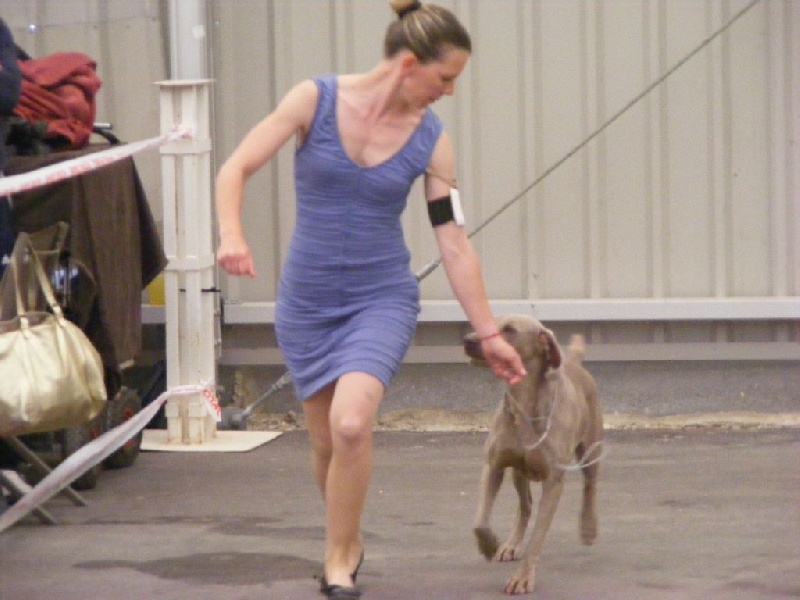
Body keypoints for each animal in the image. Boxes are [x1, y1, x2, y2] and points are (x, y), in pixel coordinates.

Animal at [464, 315, 604, 595]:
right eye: (490, 321)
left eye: (509, 329)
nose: (468, 340)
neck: (525, 403)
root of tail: (573, 363)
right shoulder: (494, 465)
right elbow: (480, 520)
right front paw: (489, 544)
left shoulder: (554, 483)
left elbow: (538, 536)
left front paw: (522, 578)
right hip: (519, 471)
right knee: (525, 505)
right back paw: (511, 544)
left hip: (591, 448)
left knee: (589, 485)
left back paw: (588, 527)